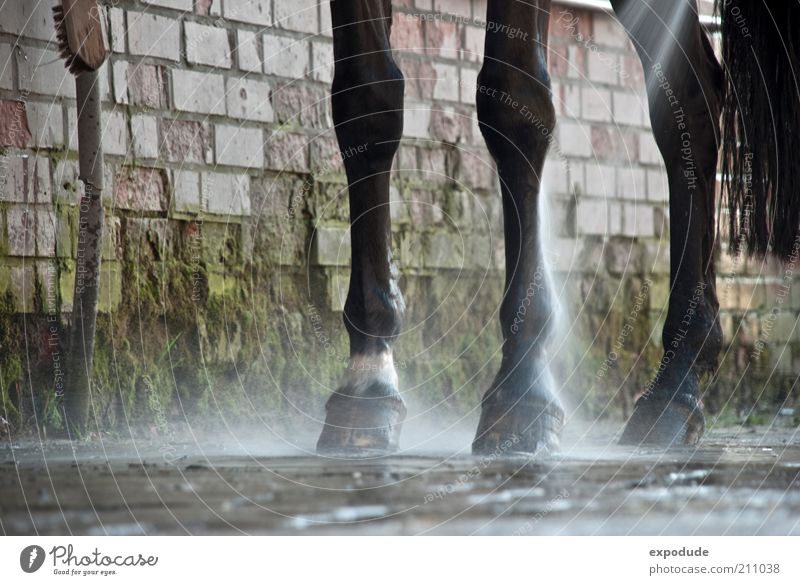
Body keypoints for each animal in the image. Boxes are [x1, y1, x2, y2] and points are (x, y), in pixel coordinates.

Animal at [314, 0, 800, 454]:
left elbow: (513, 100)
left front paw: (523, 388)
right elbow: (366, 99)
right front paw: (369, 378)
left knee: (688, 94)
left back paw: (674, 386)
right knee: (690, 88)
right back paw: (679, 377)